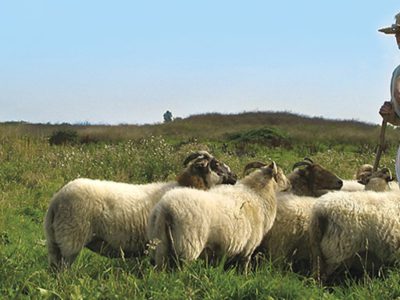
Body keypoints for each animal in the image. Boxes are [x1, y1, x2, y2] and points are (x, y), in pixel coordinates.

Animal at [145, 162, 290, 272]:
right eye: (280, 174)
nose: (289, 184)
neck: (258, 195)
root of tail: (166, 209)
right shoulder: (249, 247)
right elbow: (244, 266)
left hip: (160, 245)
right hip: (187, 246)